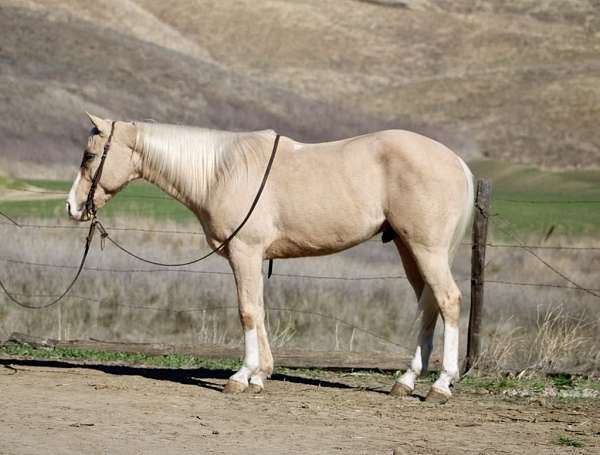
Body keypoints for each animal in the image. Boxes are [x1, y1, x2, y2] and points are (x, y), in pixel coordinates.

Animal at [69, 115, 474, 402]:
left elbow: (247, 311)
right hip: (409, 249)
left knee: (448, 300)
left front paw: (240, 376)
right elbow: (259, 310)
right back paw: (406, 380)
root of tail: (457, 161)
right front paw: (260, 375)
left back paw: (441, 384)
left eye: (89, 156)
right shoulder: (253, 256)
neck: (221, 171)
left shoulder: (244, 252)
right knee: (429, 305)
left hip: (426, 249)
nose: (72, 206)